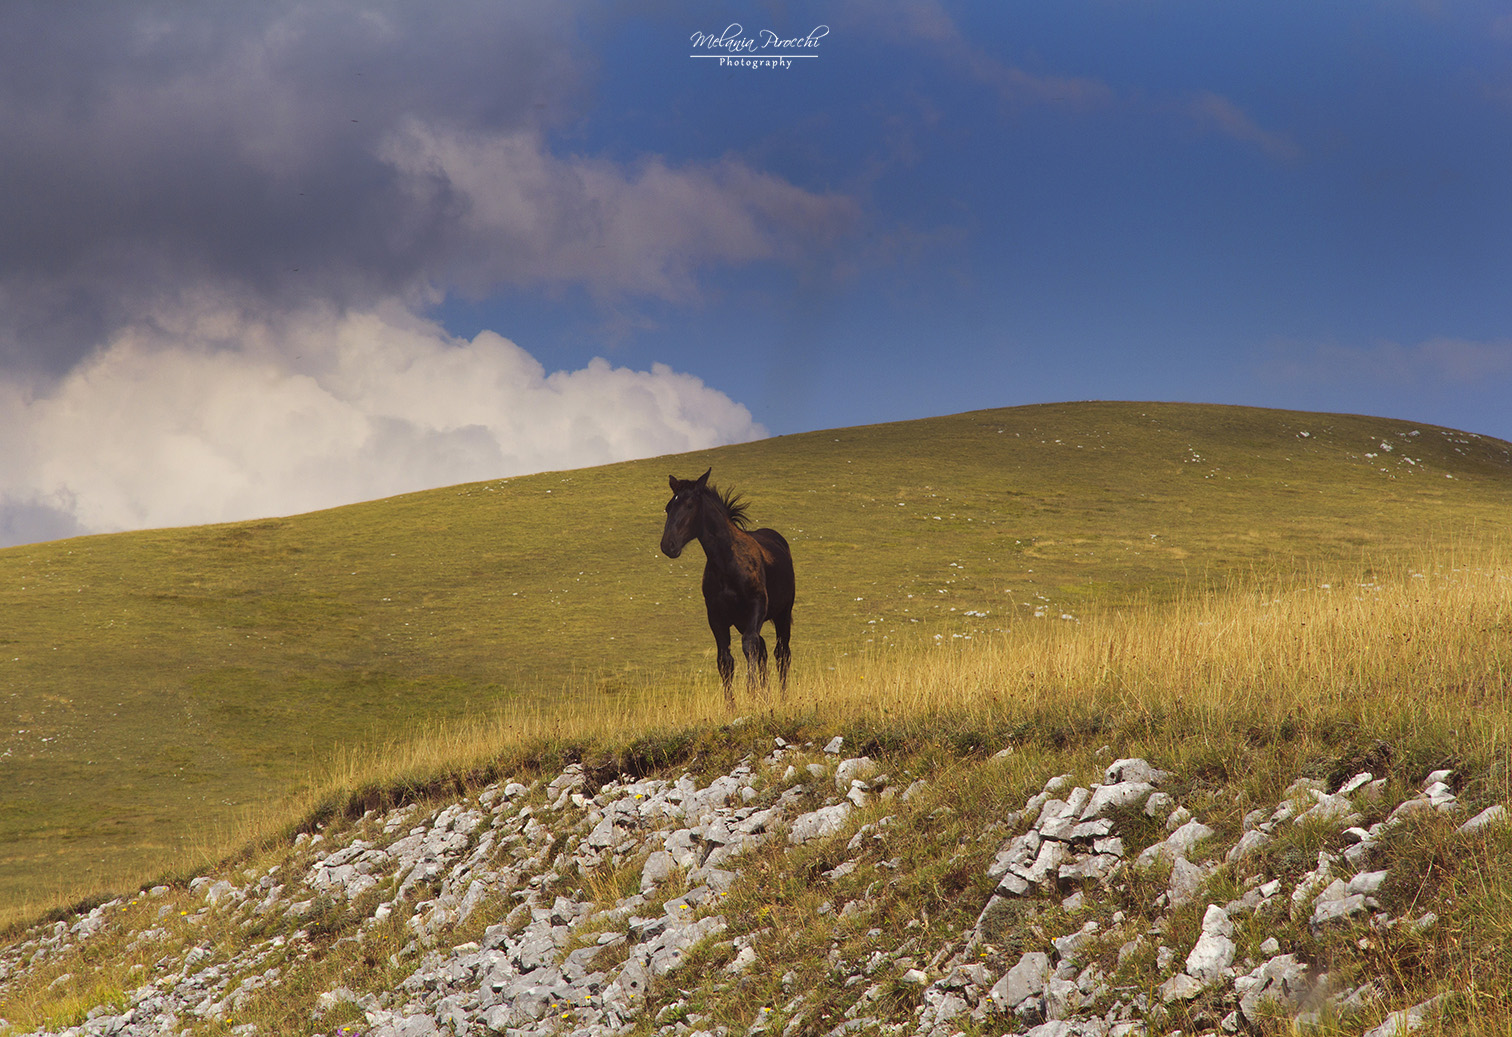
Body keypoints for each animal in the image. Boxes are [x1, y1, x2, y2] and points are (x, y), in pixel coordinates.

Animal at [660, 468, 794, 706]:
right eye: (668, 507)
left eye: (689, 505)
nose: (668, 545)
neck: (726, 562)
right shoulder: (716, 616)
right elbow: (725, 659)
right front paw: (732, 705)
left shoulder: (757, 605)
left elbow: (748, 645)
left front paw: (751, 692)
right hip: (743, 621)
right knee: (764, 649)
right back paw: (767, 695)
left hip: (783, 614)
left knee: (781, 653)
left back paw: (783, 697)